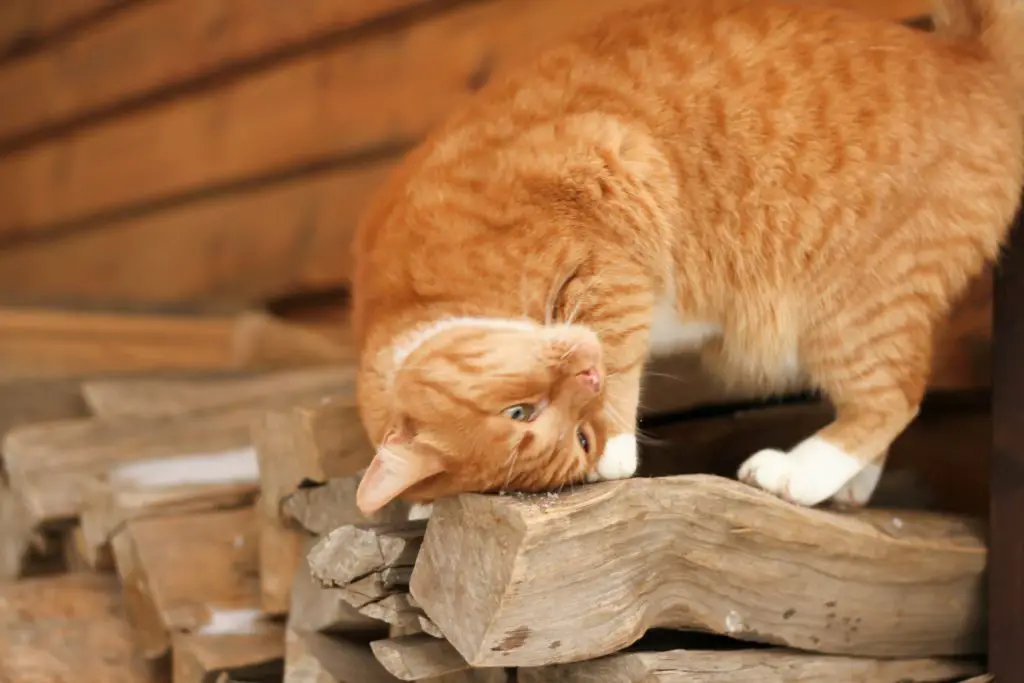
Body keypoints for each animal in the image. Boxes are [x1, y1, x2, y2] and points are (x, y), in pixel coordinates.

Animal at [348, 0, 1019, 518]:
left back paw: (798, 473)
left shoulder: (615, 184)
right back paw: (846, 485)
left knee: (894, 395)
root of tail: (973, 61)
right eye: (577, 439)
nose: (586, 379)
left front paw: (620, 441)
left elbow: (618, 337)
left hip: (850, 305)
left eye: (521, 412)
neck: (418, 297)